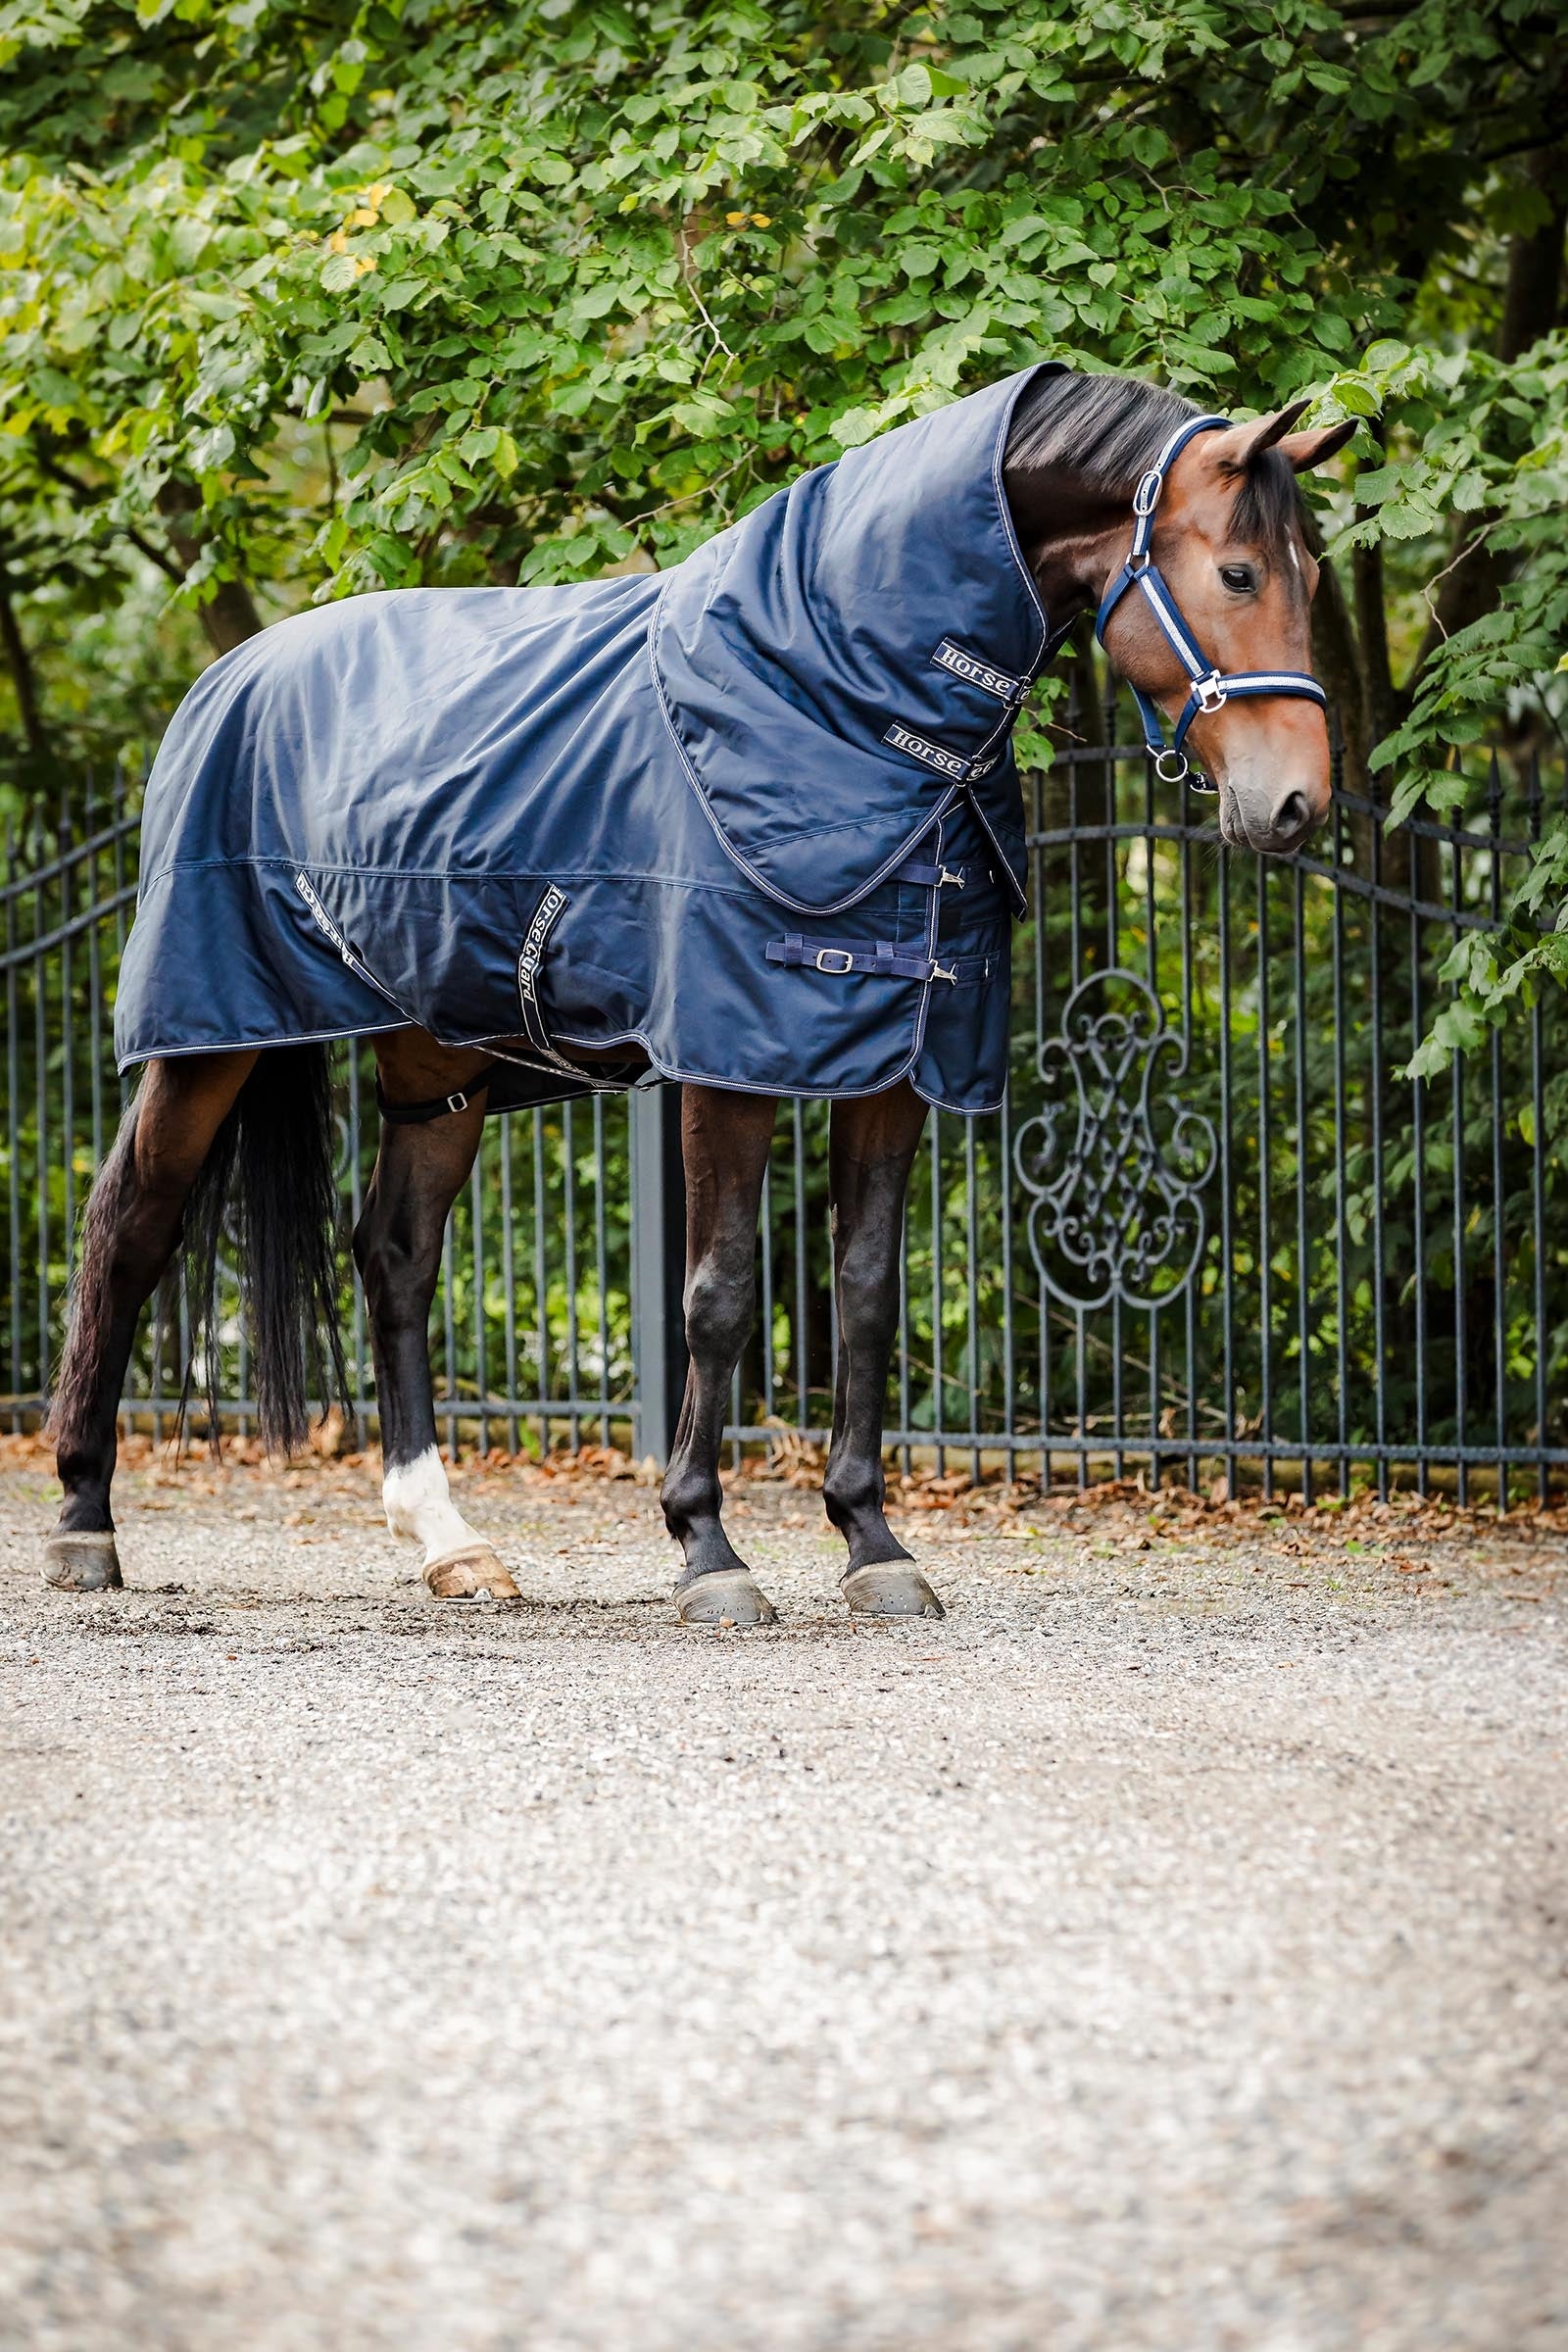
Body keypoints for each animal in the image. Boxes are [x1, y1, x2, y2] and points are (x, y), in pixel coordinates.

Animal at [42, 364, 1353, 1622]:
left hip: (437, 1062)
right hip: (207, 1043)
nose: (1294, 805)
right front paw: (708, 1549)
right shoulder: (729, 1063)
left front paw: (872, 1544)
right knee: (129, 1227)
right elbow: (717, 1296)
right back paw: (83, 1523)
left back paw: (451, 1545)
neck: (837, 699)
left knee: (397, 1257)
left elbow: (863, 1295)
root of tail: (230, 676)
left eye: (1307, 572)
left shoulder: (897, 1067)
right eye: (1237, 570)